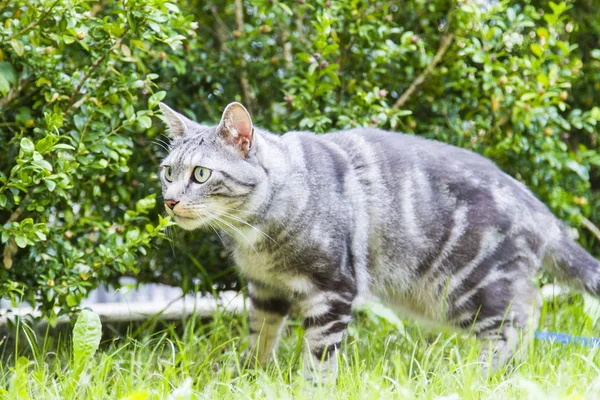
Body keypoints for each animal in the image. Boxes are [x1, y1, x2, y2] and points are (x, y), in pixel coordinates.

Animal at [158, 101, 600, 382]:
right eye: (167, 172)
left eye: (201, 174)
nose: (169, 201)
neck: (253, 234)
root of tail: (533, 202)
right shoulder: (265, 290)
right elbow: (261, 337)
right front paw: (249, 376)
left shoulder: (333, 288)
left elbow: (319, 355)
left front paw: (312, 388)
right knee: (529, 310)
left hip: (469, 285)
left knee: (515, 323)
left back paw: (476, 377)